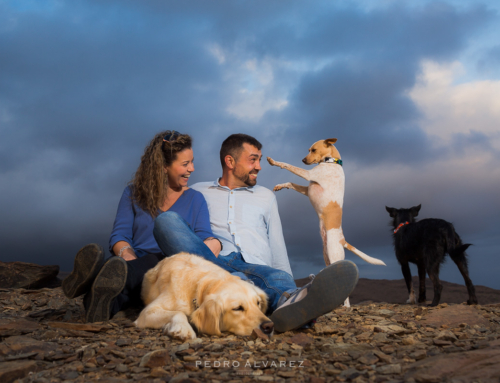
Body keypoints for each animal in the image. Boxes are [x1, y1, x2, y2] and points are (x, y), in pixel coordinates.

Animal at [268, 140, 384, 308]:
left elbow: (287, 164)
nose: (303, 160)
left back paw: (345, 306)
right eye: (309, 150)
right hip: (326, 256)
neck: (332, 162)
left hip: (334, 255)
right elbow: (291, 182)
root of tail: (343, 240)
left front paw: (274, 162)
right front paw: (280, 185)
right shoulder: (307, 188)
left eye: (314, 150)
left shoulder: (309, 174)